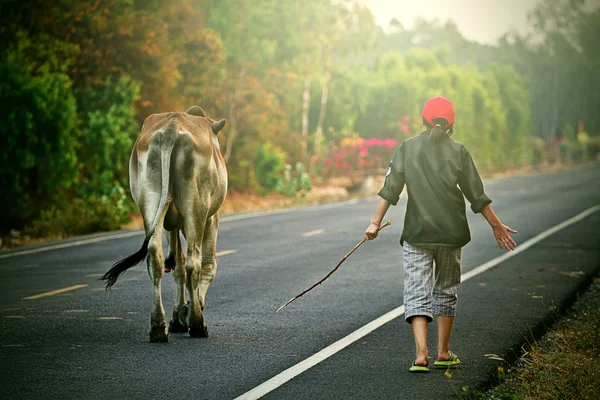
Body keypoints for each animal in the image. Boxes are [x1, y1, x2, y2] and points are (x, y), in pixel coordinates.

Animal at [101, 105, 227, 340]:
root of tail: (171, 129)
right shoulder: (211, 218)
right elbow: (208, 265)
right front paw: (190, 309)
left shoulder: (172, 223)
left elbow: (177, 266)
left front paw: (178, 316)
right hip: (196, 206)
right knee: (193, 263)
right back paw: (197, 323)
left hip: (151, 199)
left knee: (155, 257)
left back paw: (158, 326)